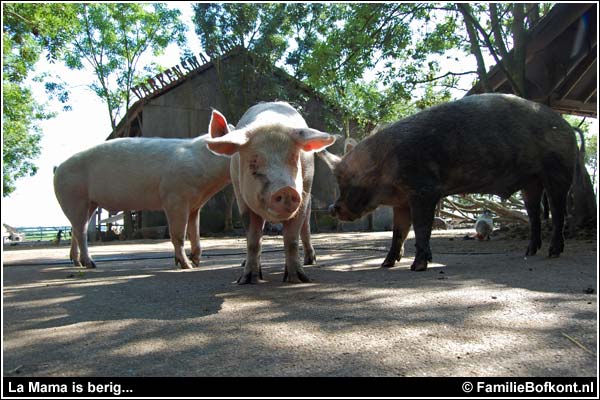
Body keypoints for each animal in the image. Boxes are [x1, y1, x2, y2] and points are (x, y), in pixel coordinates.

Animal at [326, 93, 580, 272]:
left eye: (348, 180)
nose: (332, 208)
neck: (387, 163)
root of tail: (567, 126)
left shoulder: (424, 189)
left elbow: (421, 228)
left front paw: (417, 267)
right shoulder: (401, 201)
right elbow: (399, 232)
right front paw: (386, 264)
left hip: (559, 171)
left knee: (558, 212)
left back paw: (553, 252)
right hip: (531, 182)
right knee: (534, 213)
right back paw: (529, 252)